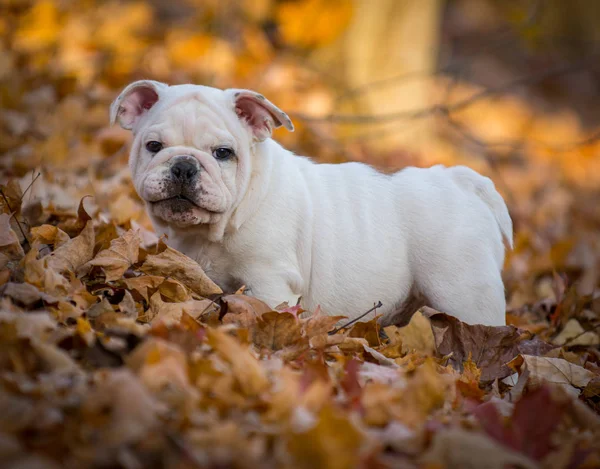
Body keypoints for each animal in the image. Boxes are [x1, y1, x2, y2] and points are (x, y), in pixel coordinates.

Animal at [110, 81, 512, 326]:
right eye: (153, 146)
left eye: (223, 153)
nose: (184, 165)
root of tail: (460, 180)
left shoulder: (271, 281)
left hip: (465, 293)